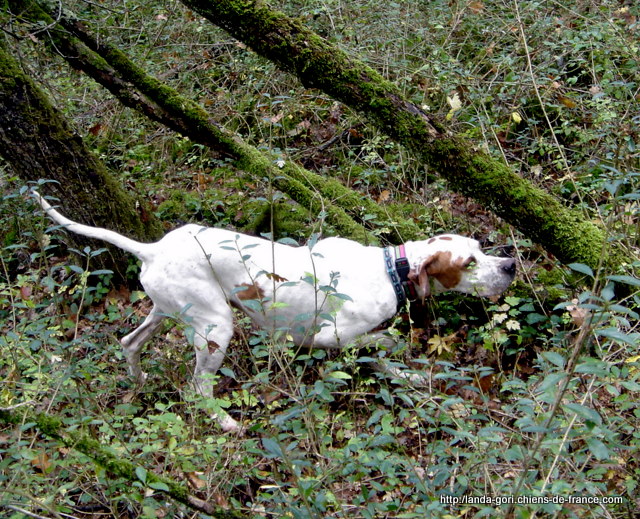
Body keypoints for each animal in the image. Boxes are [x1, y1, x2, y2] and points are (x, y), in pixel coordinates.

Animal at [33, 191, 516, 430]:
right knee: (197, 388)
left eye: (480, 248)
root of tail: (152, 248)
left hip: (167, 311)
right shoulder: (328, 336)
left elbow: (384, 356)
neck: (390, 269)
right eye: (469, 263)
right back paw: (225, 422)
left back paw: (138, 381)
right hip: (216, 327)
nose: (510, 265)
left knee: (129, 342)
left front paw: (410, 376)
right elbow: (375, 342)